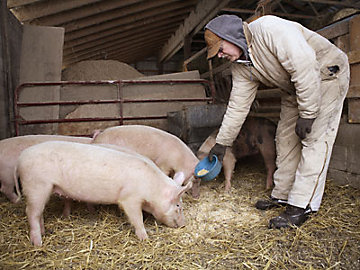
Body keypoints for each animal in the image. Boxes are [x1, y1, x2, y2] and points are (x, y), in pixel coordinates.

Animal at [15, 141, 193, 247]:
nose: (184, 224)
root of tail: (21, 158)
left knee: (39, 213)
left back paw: (44, 233)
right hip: (37, 186)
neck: (152, 187)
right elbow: (137, 218)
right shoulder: (129, 198)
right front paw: (145, 238)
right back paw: (38, 243)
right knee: (31, 212)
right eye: (178, 205)